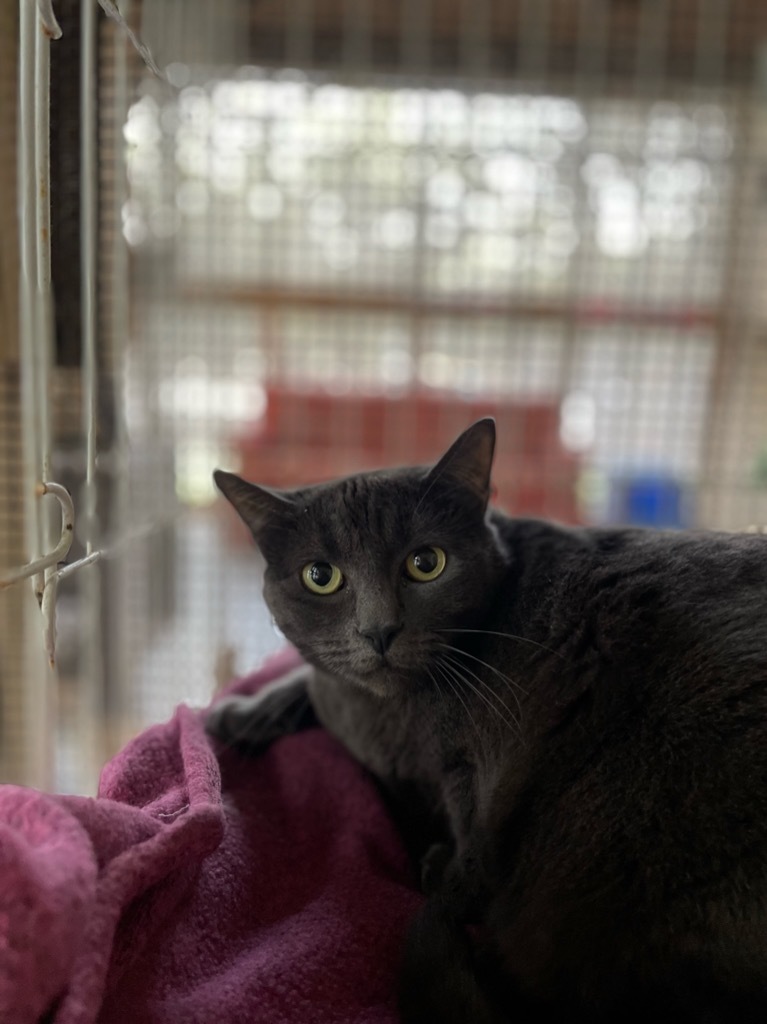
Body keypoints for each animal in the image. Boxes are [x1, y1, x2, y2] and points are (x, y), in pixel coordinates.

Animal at [206, 419, 765, 1019]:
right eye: (320, 576)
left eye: (426, 562)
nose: (378, 630)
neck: (384, 714)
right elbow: (309, 679)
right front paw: (239, 714)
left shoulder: (483, 766)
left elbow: (472, 854)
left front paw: (440, 875)